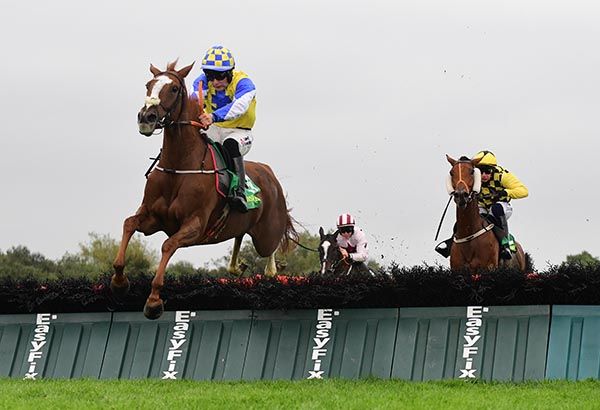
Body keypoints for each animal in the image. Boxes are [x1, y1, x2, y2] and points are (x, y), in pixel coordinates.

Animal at [111, 61, 297, 319]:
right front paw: (119, 281)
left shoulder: (194, 225)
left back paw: (270, 271)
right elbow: (129, 224)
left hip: (266, 234)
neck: (179, 166)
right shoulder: (153, 218)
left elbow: (167, 245)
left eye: (174, 89)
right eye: (148, 85)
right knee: (239, 238)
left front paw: (154, 300)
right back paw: (238, 266)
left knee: (269, 255)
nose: (146, 117)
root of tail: (269, 174)